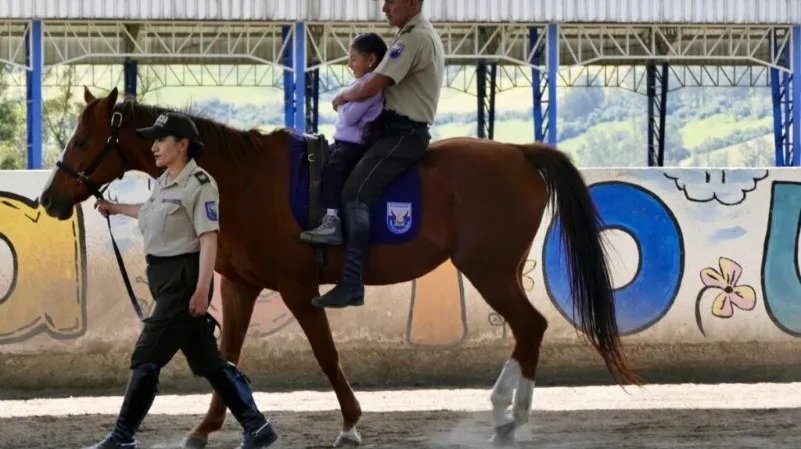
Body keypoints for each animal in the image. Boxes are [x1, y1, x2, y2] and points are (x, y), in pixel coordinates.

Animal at [39, 86, 640, 447]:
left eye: (84, 139)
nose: (50, 199)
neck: (243, 182)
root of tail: (518, 152)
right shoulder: (238, 288)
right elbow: (225, 358)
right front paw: (207, 428)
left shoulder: (298, 289)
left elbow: (326, 357)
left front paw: (350, 423)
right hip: (498, 271)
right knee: (527, 329)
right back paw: (503, 413)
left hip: (489, 271)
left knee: (530, 326)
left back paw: (512, 416)